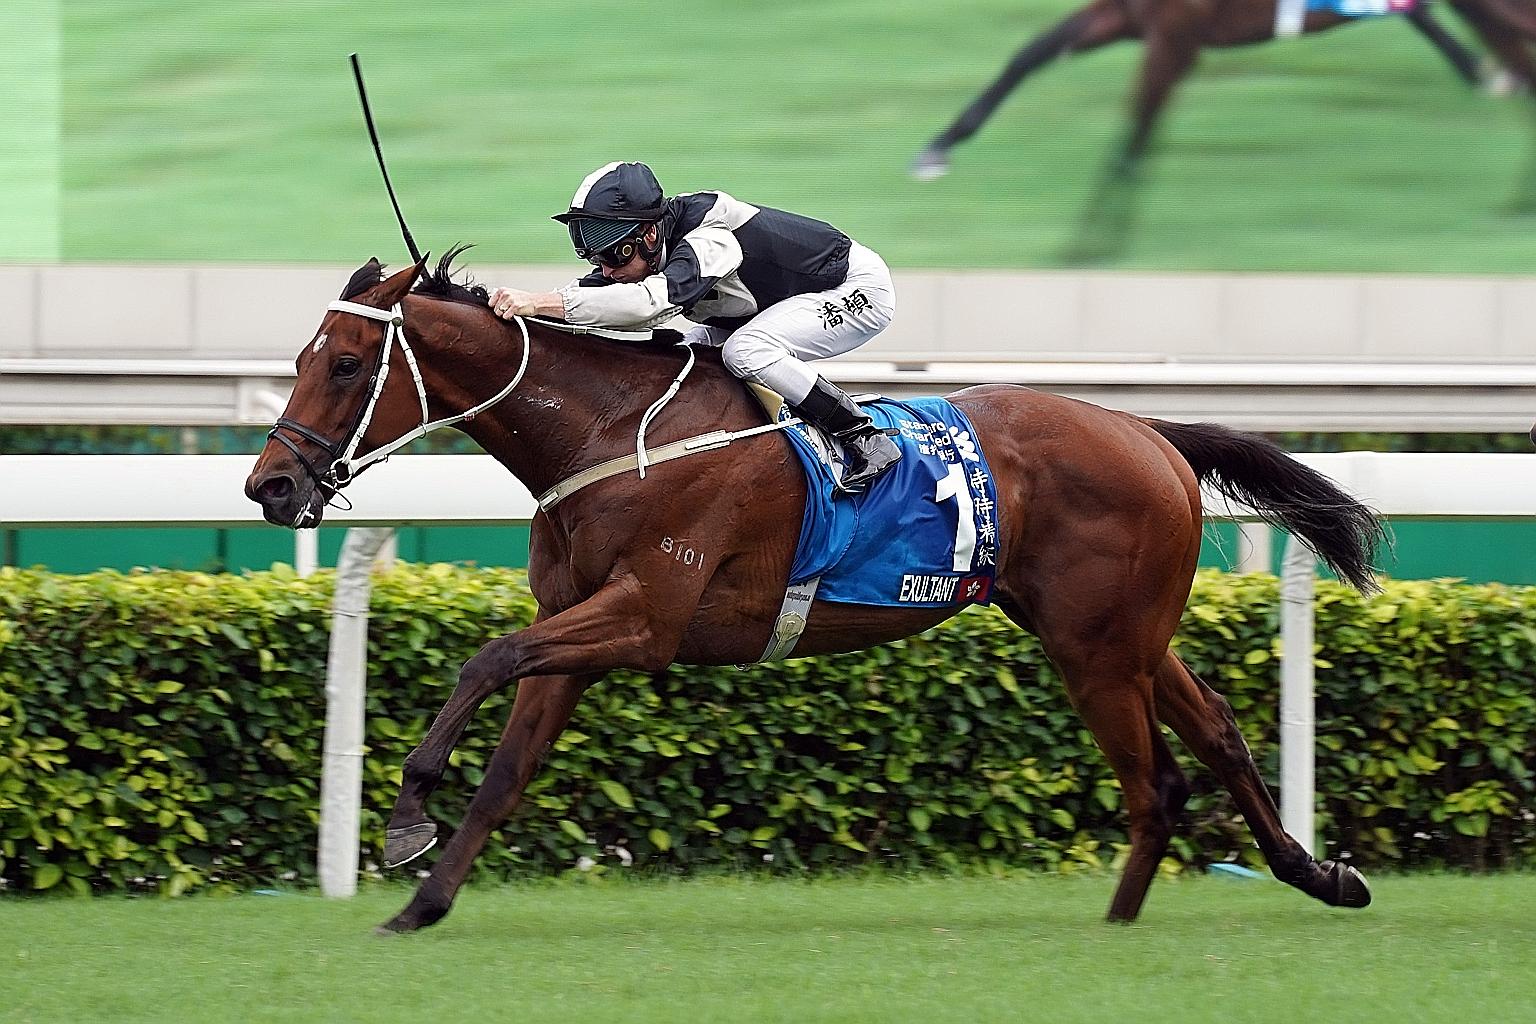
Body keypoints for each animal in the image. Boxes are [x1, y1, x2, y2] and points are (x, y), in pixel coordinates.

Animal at [245, 250, 1385, 934]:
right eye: (301, 355)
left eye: (344, 364)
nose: (270, 486)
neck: (609, 433)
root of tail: (1148, 431)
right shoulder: (576, 628)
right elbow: (508, 768)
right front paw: (421, 902)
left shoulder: (643, 618)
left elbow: (484, 660)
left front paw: (407, 819)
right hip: (1121, 635)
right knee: (1218, 734)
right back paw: (1319, 876)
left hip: (1096, 648)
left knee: (1156, 781)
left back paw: (1122, 929)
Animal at [911, 0, 1536, 258]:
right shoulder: (1129, 16)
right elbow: (1032, 53)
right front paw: (937, 149)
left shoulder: (1175, 35)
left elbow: (1136, 136)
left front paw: (1090, 243)